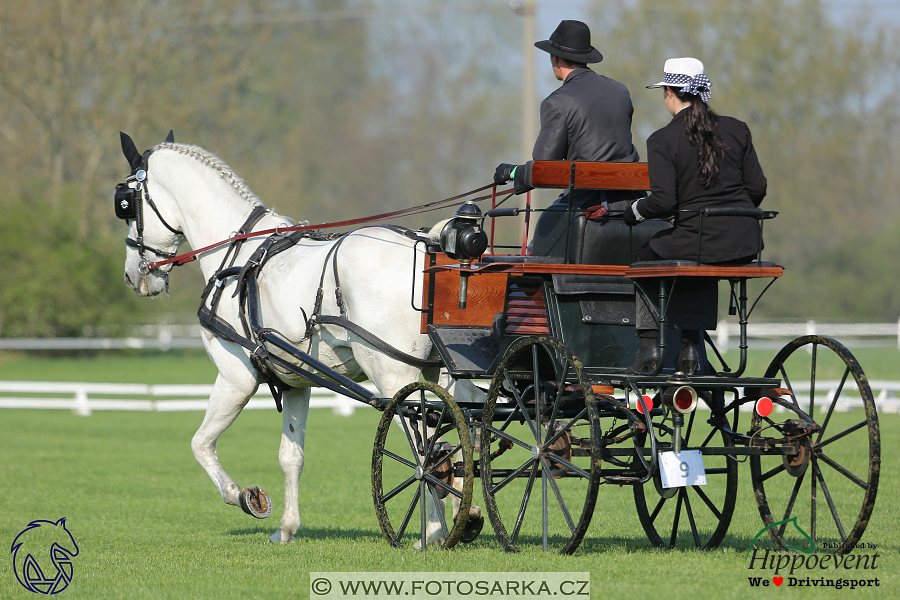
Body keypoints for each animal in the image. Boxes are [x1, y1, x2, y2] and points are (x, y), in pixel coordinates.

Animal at [121, 134, 486, 548]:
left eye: (127, 204)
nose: (133, 275)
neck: (236, 253)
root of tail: (428, 246)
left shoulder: (236, 377)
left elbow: (201, 443)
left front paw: (245, 497)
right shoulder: (296, 382)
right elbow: (290, 457)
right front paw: (286, 527)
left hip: (395, 375)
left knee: (426, 449)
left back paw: (433, 531)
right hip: (441, 373)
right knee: (464, 426)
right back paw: (466, 516)